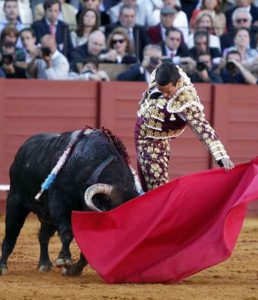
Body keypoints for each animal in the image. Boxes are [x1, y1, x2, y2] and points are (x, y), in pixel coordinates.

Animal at [0, 129, 140, 276]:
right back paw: (3, 266)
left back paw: (44, 264)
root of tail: (23, 148)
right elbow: (67, 232)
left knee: (43, 236)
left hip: (46, 215)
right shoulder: (60, 204)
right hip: (15, 202)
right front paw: (64, 259)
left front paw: (73, 270)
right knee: (11, 235)